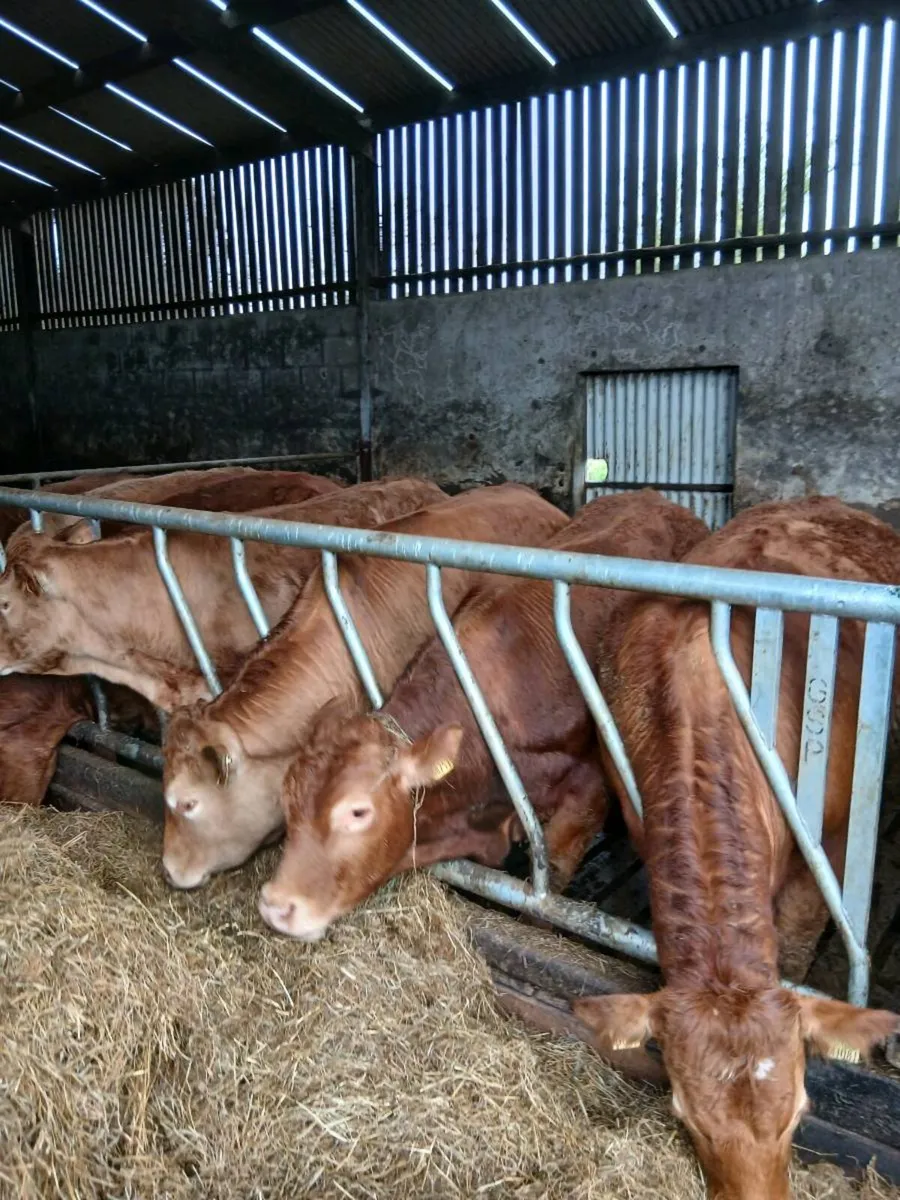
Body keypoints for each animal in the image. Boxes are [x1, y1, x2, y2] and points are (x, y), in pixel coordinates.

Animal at [257, 490, 708, 940]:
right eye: (288, 799)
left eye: (357, 811)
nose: (276, 905)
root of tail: (653, 496)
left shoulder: (587, 792)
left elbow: (548, 885)